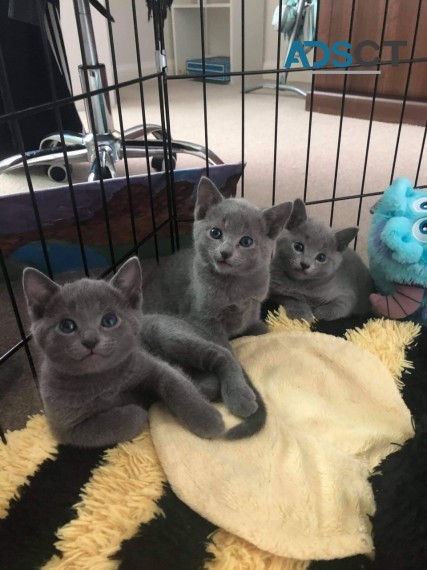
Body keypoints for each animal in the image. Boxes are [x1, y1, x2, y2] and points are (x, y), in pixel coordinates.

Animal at [22, 258, 247, 448]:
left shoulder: (151, 365)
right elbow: (114, 423)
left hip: (168, 335)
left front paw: (207, 419)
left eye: (109, 320)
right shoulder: (65, 427)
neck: (105, 381)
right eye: (66, 325)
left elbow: (177, 387)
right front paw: (137, 409)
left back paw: (238, 395)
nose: (90, 340)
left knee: (221, 354)